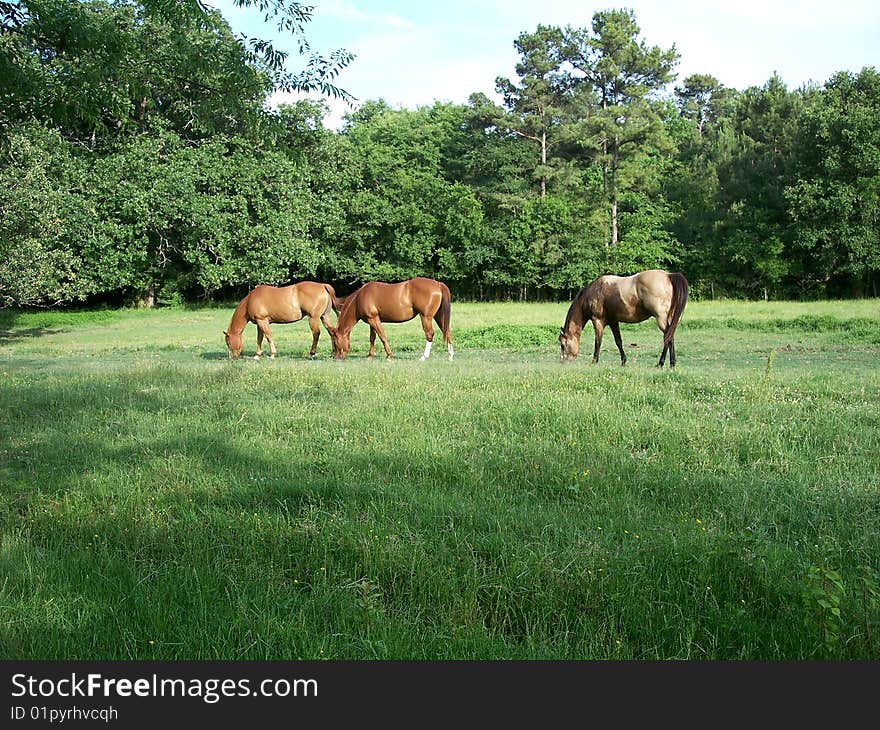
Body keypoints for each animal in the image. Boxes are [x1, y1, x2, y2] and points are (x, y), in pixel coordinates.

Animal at [560, 268, 692, 366]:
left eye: (562, 344)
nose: (563, 361)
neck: (593, 293)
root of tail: (668, 275)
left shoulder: (597, 321)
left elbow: (598, 341)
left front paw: (594, 361)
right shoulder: (613, 322)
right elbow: (618, 341)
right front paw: (623, 361)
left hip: (661, 319)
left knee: (668, 337)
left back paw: (661, 363)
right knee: (670, 336)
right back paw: (670, 363)